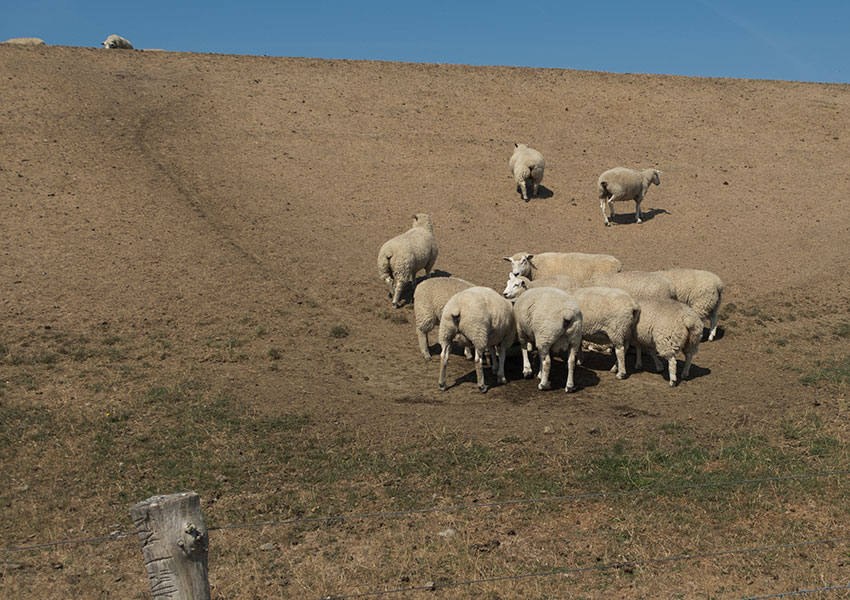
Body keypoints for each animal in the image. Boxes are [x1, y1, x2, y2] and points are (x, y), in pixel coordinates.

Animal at [500, 274, 640, 378]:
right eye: (507, 283)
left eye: (516, 285)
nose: (504, 294)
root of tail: (633, 305)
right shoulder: (578, 331)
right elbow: (578, 346)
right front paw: (580, 360)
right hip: (626, 330)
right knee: (625, 348)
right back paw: (615, 367)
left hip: (617, 329)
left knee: (620, 350)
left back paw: (621, 373)